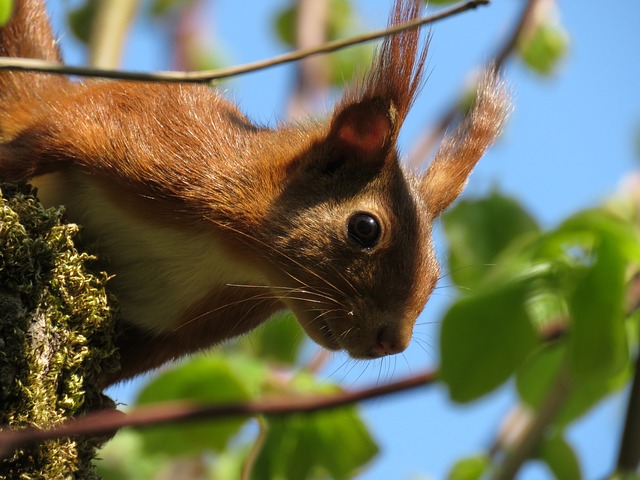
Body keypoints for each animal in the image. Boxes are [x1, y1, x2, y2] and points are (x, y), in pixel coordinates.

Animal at [0, 0, 510, 386]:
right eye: (365, 228)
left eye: (436, 272)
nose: (391, 342)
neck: (233, 254)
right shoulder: (148, 138)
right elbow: (52, 136)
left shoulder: (192, 326)